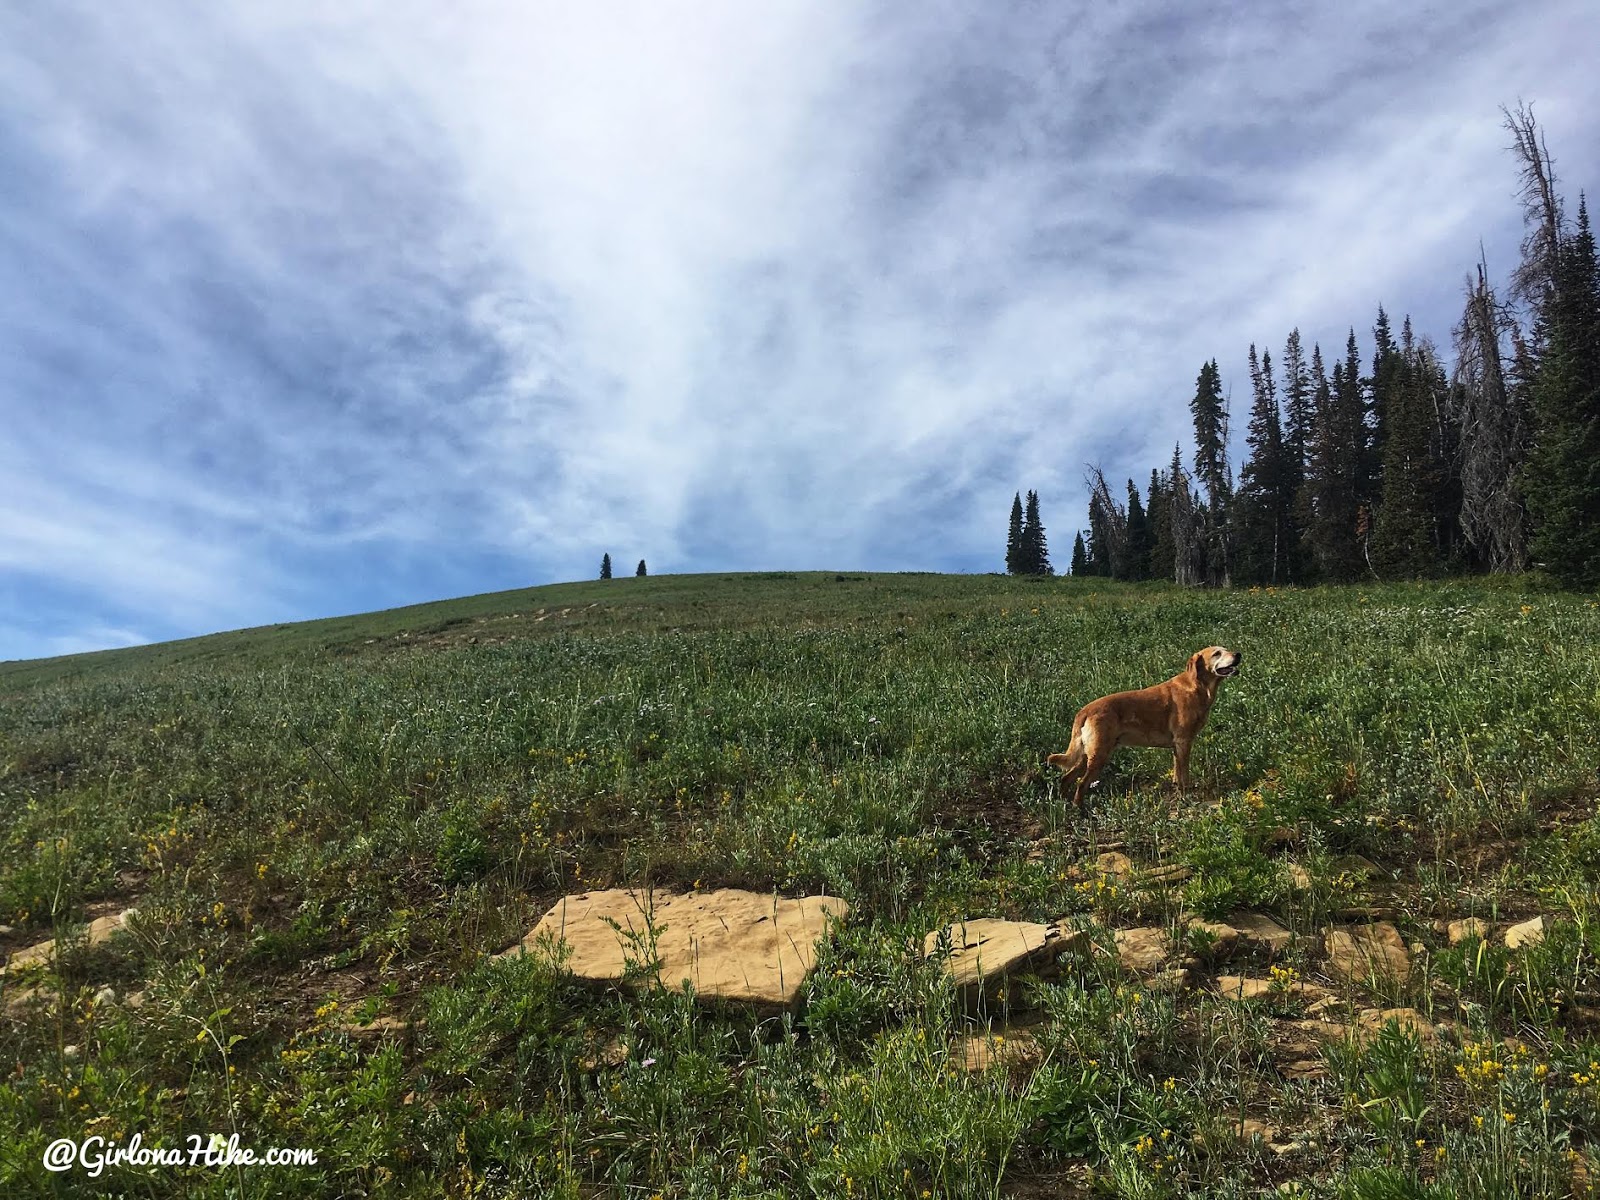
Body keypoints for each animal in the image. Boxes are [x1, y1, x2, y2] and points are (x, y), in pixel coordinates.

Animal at [1043, 652, 1241, 812]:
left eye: (1226, 649)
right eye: (1217, 653)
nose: (1238, 654)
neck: (1198, 686)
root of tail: (1084, 710)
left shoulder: (1176, 747)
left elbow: (1177, 775)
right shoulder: (1183, 742)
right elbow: (1184, 776)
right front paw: (1187, 797)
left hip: (1087, 756)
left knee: (1066, 779)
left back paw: (1063, 804)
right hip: (1099, 756)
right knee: (1081, 784)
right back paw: (1079, 810)